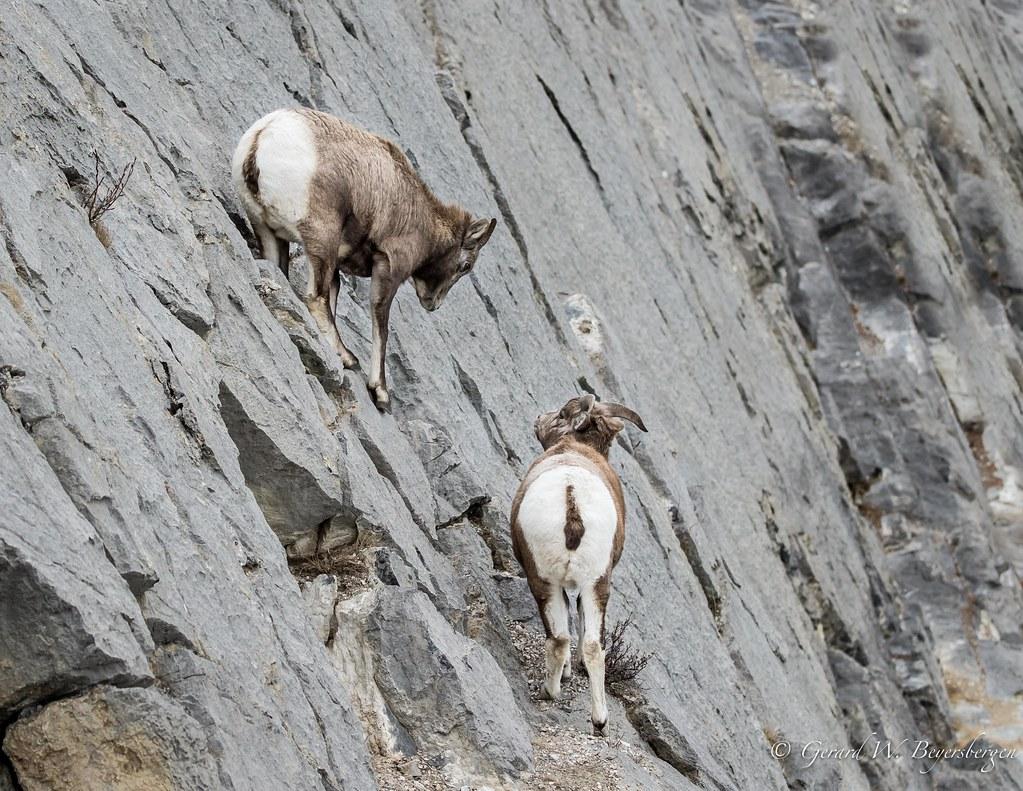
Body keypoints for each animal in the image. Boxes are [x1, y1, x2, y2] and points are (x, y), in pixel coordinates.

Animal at [231, 108, 497, 410]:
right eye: (465, 266)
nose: (433, 304)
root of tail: (263, 136)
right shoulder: (388, 269)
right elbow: (381, 325)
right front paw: (380, 392)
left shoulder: (338, 267)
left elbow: (335, 297)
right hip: (322, 238)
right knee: (315, 298)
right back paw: (348, 359)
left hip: (271, 235)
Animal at [510, 393, 647, 735]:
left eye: (561, 413)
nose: (539, 419)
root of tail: (571, 501)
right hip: (596, 584)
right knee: (593, 646)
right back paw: (600, 722)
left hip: (544, 581)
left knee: (560, 638)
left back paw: (549, 691)